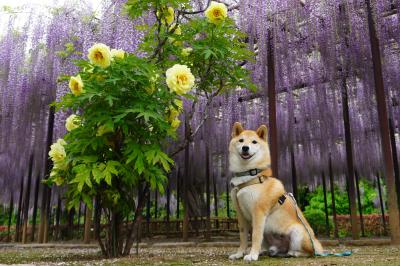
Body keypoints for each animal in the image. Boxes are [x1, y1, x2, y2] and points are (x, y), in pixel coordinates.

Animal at [228, 122, 322, 262]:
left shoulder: (259, 212)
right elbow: (243, 237)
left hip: (298, 232)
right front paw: (239, 254)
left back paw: (293, 253)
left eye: (254, 142)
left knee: (309, 252)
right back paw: (268, 251)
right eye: (241, 140)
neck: (250, 176)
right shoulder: (241, 214)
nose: (245, 148)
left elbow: (255, 236)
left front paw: (252, 255)